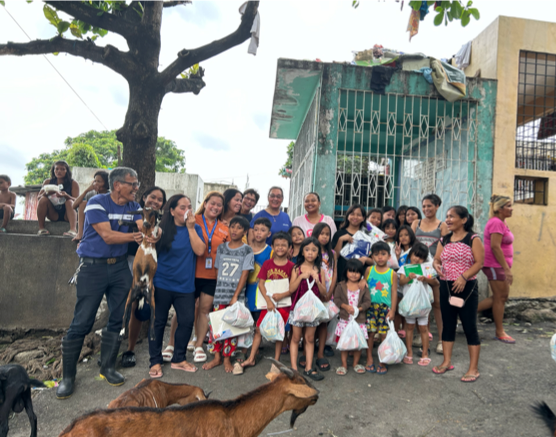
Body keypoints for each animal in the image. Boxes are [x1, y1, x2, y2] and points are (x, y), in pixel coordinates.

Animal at [120, 207, 162, 341]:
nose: (145, 223)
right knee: (125, 315)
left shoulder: (152, 233)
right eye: (142, 213)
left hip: (152, 300)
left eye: (152, 213)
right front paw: (122, 222)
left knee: (153, 318)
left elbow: (157, 226)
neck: (147, 233)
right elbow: (134, 224)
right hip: (130, 298)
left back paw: (153, 335)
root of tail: (142, 290)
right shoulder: (142, 232)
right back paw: (122, 332)